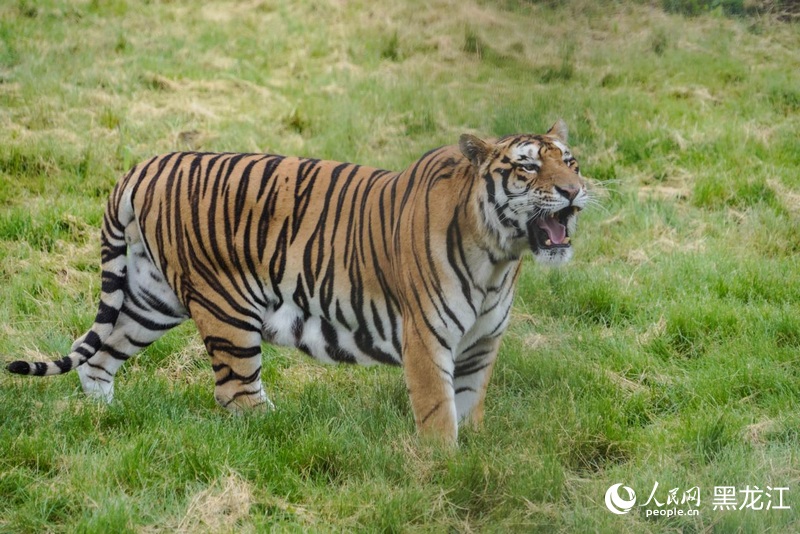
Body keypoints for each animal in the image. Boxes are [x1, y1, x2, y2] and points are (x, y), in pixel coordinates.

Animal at [7, 119, 588, 446]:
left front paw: (472, 464)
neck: (499, 257)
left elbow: (469, 406)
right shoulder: (426, 339)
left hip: (154, 299)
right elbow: (438, 413)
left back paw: (106, 417)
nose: (575, 191)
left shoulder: (482, 342)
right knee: (236, 396)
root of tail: (147, 164)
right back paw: (283, 436)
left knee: (102, 357)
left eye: (571, 162)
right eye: (527, 168)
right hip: (227, 309)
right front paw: (444, 469)